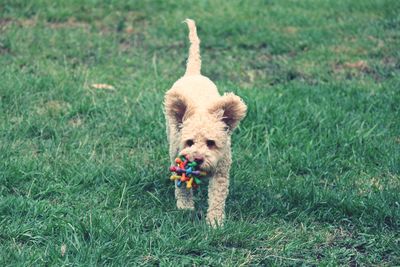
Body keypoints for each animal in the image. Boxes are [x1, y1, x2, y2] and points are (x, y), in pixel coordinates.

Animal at [163, 18, 247, 228]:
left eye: (211, 143)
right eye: (189, 142)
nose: (198, 159)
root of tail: (194, 73)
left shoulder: (221, 171)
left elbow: (217, 196)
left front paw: (215, 222)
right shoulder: (178, 158)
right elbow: (182, 186)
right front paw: (185, 207)